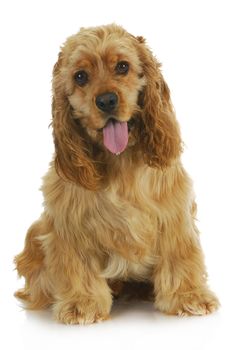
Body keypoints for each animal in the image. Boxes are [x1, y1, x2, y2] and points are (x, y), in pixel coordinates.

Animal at [14, 24, 219, 324]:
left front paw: (188, 296)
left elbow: (179, 254)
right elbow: (78, 265)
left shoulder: (173, 213)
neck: (119, 160)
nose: (107, 100)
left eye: (123, 66)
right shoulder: (70, 221)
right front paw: (83, 303)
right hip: (36, 232)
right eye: (80, 76)